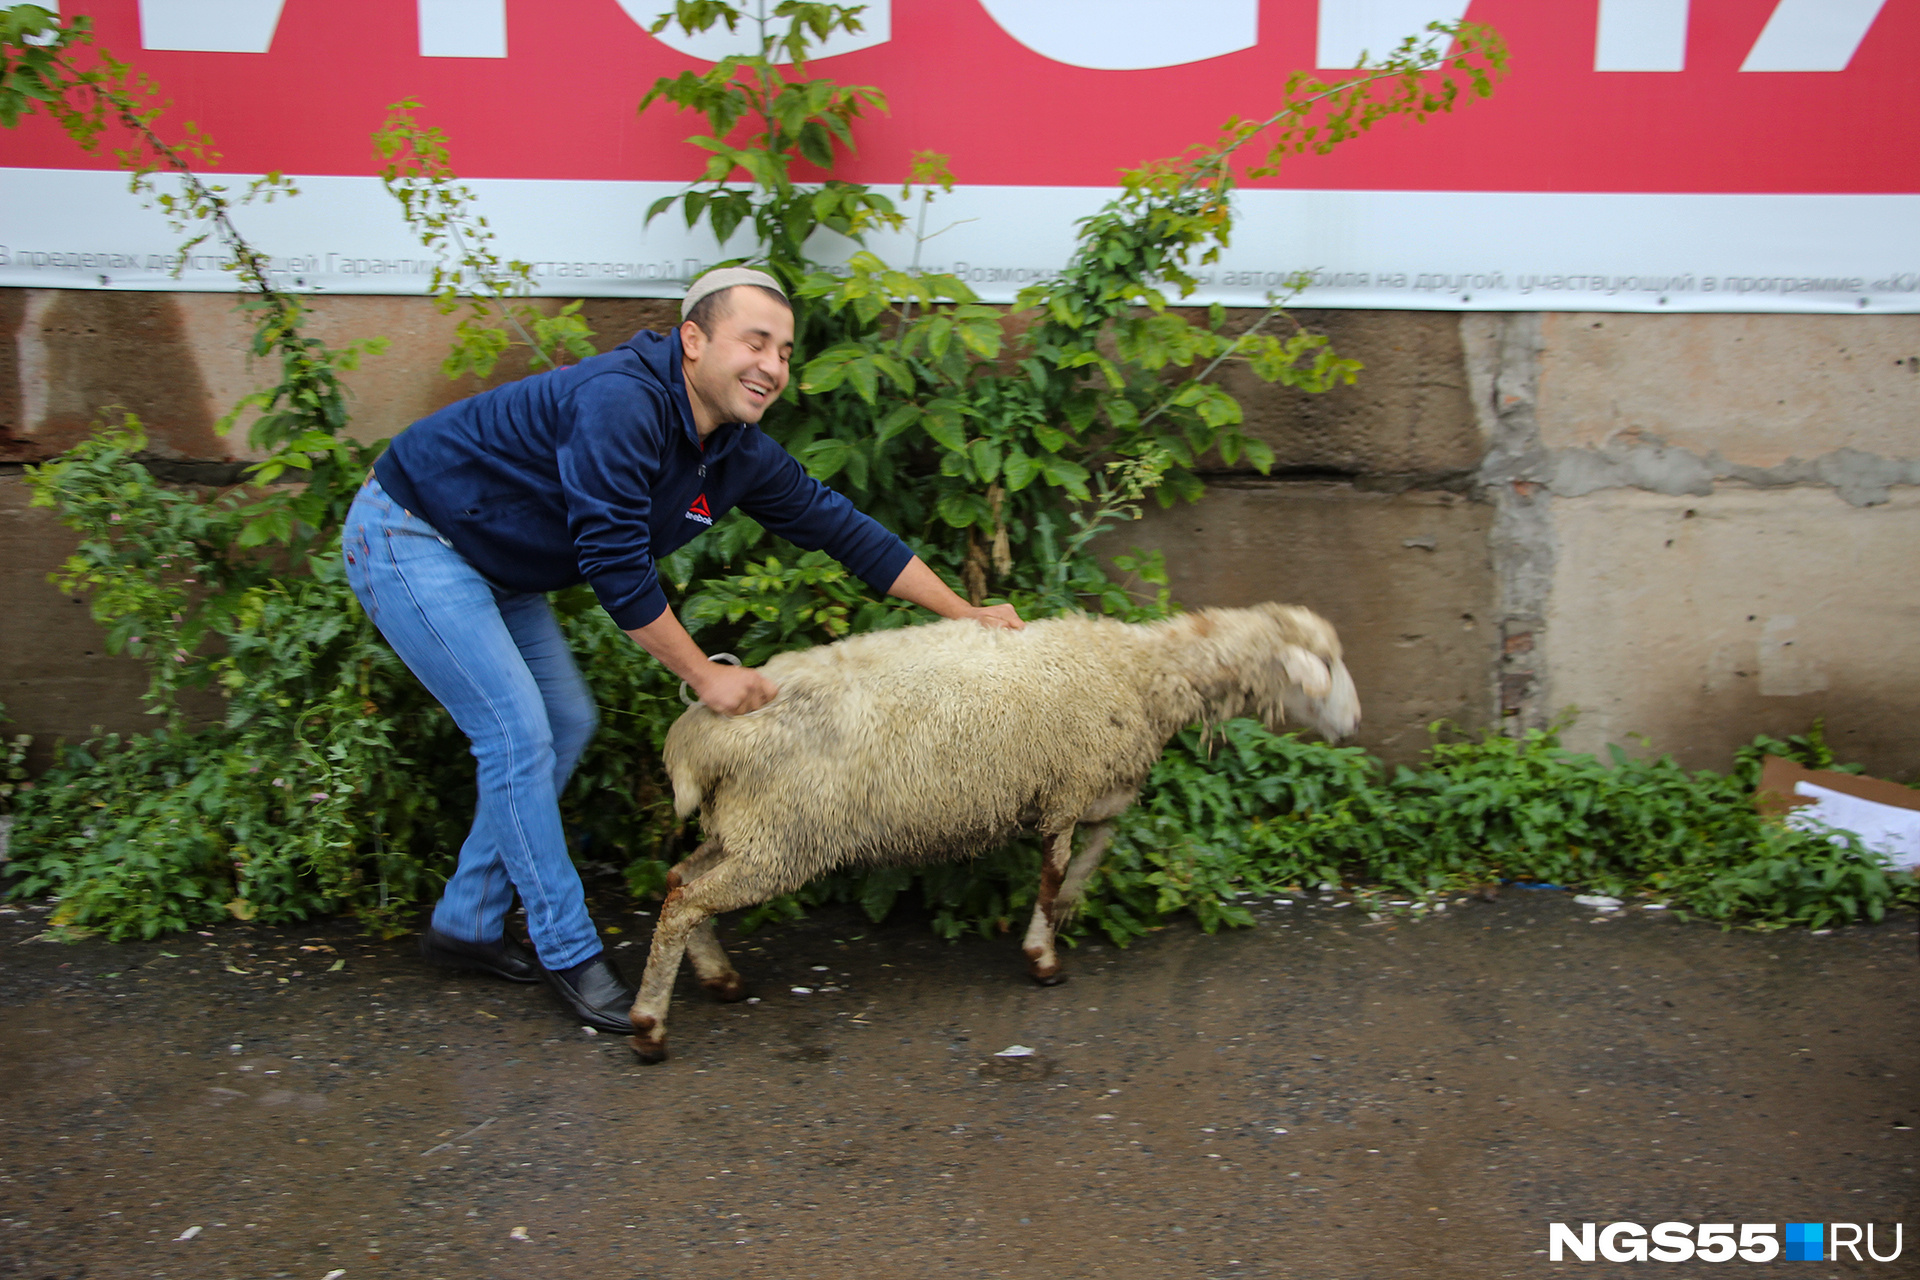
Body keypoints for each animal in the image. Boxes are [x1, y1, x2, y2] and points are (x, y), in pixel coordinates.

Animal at [622, 606, 1359, 1066]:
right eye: (1324, 666)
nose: (1353, 724)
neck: (1138, 669)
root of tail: (696, 740)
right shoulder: (1066, 791)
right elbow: (1055, 872)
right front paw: (1043, 956)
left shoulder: (1093, 791)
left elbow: (1094, 856)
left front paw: (1065, 916)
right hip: (783, 839)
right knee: (684, 904)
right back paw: (650, 1027)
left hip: (750, 829)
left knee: (680, 882)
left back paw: (718, 978)